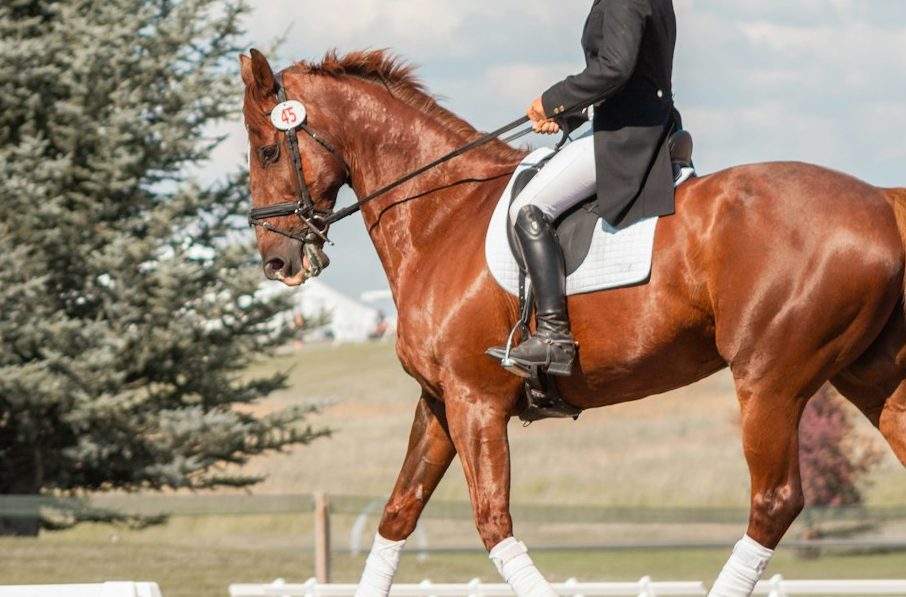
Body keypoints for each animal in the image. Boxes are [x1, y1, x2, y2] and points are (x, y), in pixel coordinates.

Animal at [240, 49, 904, 588]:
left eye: (268, 149)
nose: (277, 262)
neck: (441, 216)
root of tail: (879, 199)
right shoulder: (439, 400)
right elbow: (398, 513)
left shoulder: (476, 401)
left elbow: (493, 523)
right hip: (872, 380)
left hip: (769, 382)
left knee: (772, 502)